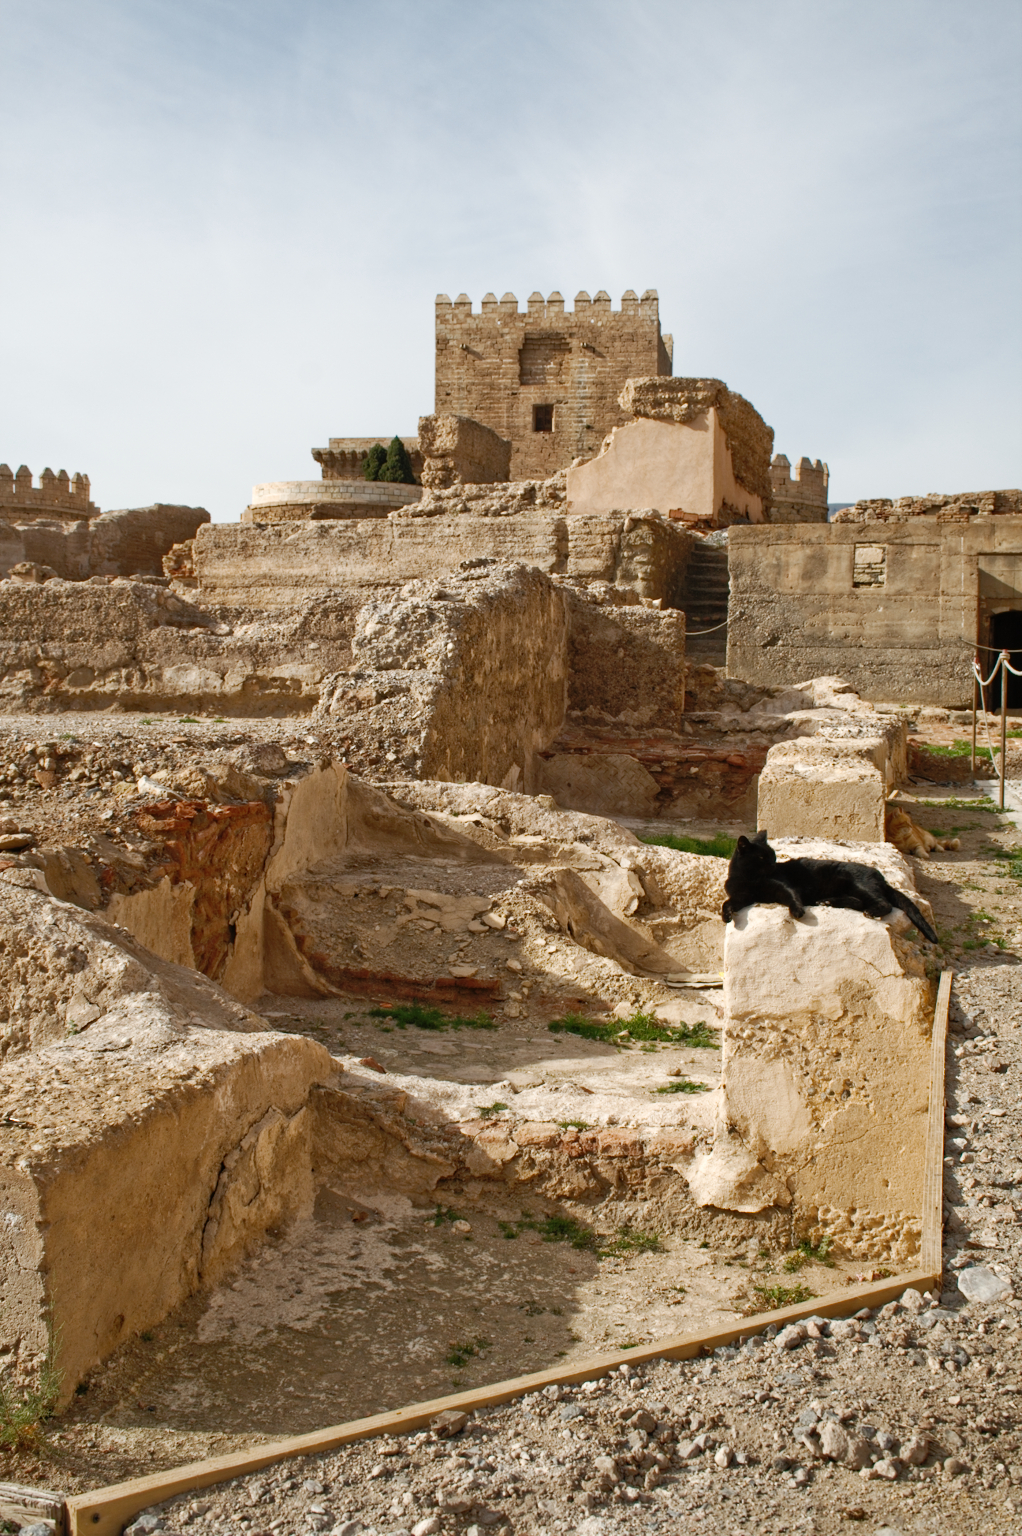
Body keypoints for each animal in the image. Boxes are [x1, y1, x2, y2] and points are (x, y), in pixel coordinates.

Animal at [722, 829, 934, 946]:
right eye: (761, 857)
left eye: (773, 855)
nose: (774, 865)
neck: (748, 878)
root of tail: (879, 875)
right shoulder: (742, 896)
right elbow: (727, 903)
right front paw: (727, 916)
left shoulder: (783, 887)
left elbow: (792, 897)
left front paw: (797, 912)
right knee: (857, 902)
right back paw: (828, 902)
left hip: (860, 885)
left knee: (883, 903)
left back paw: (870, 911)